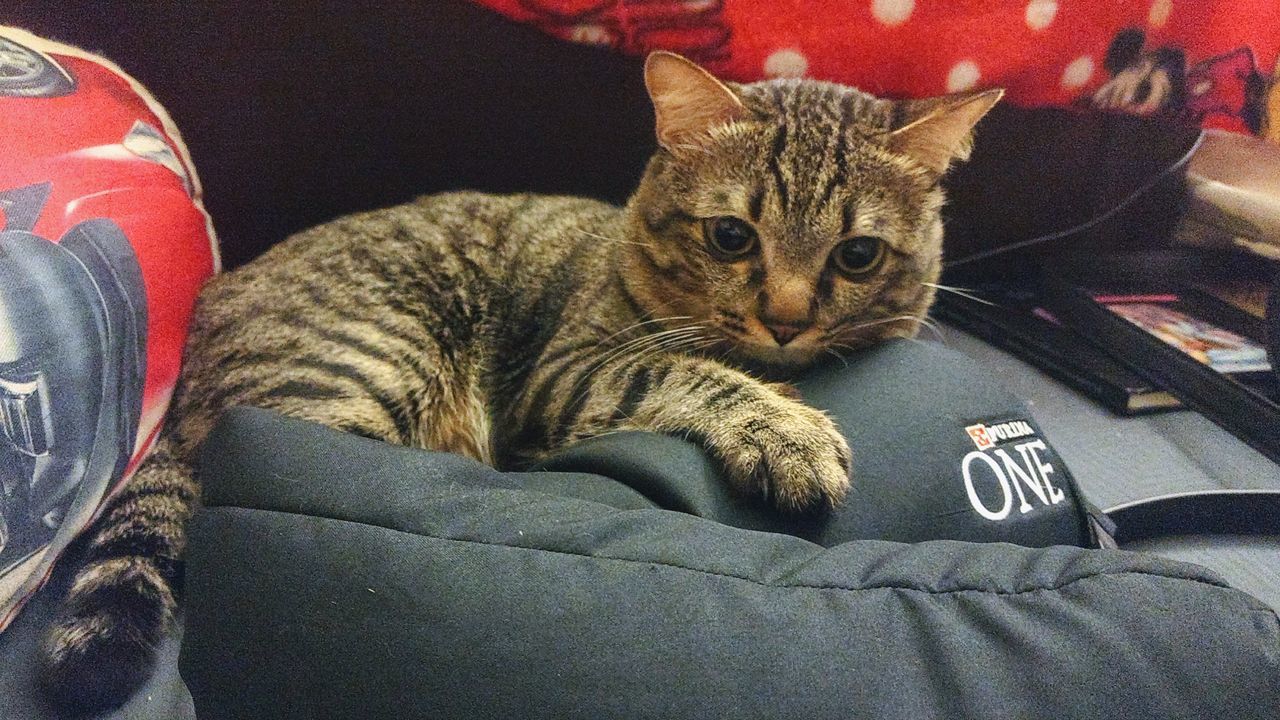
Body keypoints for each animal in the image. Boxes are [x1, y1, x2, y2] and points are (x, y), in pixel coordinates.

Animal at [40, 53, 998, 707]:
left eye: (857, 255)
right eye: (731, 237)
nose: (788, 320)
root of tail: (207, 320)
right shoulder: (569, 374)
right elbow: (686, 372)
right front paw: (786, 429)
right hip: (364, 369)